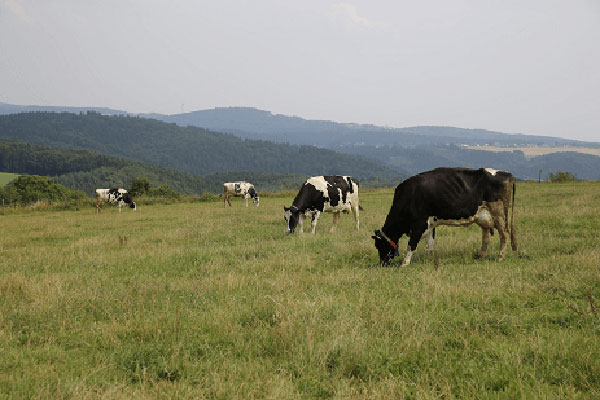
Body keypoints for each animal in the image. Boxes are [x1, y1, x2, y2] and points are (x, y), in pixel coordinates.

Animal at [370, 168, 516, 266]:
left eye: (379, 245)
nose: (383, 264)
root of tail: (507, 174)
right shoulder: (430, 225)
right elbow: (430, 243)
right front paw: (429, 260)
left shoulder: (419, 224)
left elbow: (412, 244)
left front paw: (404, 264)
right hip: (484, 217)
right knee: (486, 237)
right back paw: (480, 257)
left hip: (498, 213)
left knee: (504, 234)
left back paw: (500, 257)